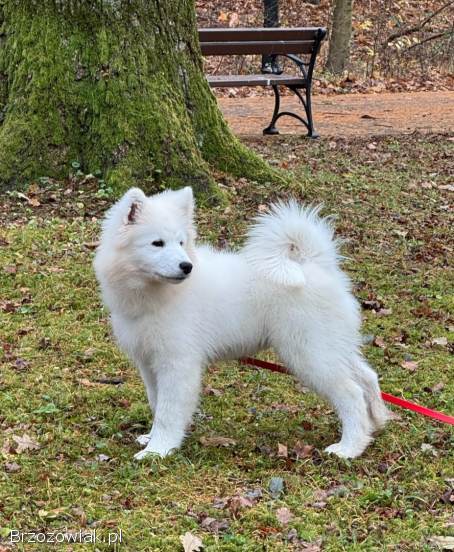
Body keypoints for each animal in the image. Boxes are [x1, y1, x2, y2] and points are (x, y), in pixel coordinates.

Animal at [94, 188, 388, 460]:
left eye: (180, 242)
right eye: (157, 243)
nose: (186, 266)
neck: (156, 294)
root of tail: (315, 264)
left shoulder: (178, 363)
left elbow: (168, 411)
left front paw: (158, 450)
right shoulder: (149, 362)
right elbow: (156, 402)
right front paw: (152, 439)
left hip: (309, 353)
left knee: (351, 393)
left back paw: (349, 448)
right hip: (332, 346)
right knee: (367, 376)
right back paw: (377, 421)